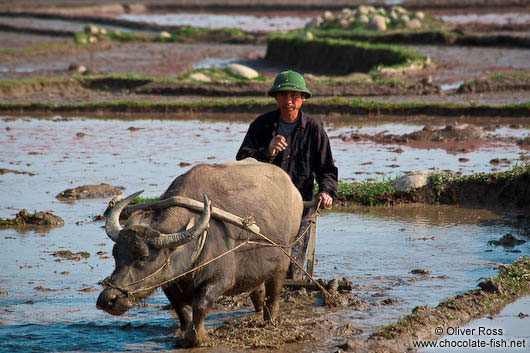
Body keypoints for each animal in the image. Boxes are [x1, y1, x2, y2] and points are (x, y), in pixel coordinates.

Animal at [95, 158, 302, 346]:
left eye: (143, 257)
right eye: (116, 255)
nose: (108, 299)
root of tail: (294, 191)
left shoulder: (222, 279)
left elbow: (201, 304)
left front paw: (198, 337)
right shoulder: (168, 283)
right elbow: (181, 310)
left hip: (283, 260)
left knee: (273, 294)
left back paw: (270, 320)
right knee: (257, 289)